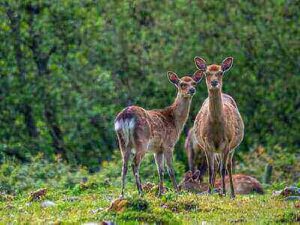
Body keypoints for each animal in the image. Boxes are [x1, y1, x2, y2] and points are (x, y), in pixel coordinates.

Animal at [192, 56, 244, 199]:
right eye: (206, 73)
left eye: (221, 72)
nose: (214, 82)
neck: (216, 128)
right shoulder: (206, 142)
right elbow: (210, 169)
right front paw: (209, 192)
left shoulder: (227, 141)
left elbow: (223, 169)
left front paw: (224, 192)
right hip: (215, 150)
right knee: (216, 165)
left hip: (232, 147)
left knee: (228, 166)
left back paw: (231, 193)